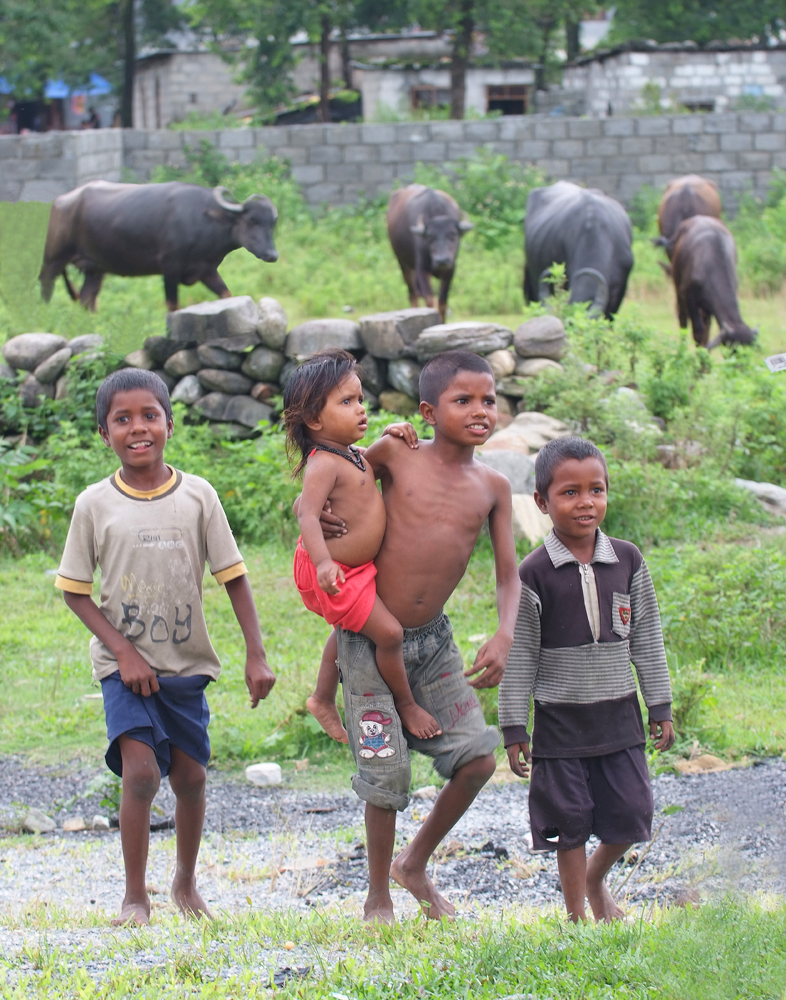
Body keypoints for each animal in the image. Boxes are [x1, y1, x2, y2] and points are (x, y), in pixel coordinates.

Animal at [39, 181, 280, 312]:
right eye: (252, 220)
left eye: (272, 223)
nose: (272, 254)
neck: (203, 220)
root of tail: (61, 201)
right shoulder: (170, 268)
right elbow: (172, 305)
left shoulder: (206, 270)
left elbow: (226, 294)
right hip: (54, 257)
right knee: (46, 285)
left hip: (95, 269)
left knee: (87, 298)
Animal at [386, 182, 472, 318]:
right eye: (430, 237)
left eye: (453, 235)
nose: (442, 260)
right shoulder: (421, 269)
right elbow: (430, 301)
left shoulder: (450, 269)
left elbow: (442, 302)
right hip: (403, 264)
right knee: (413, 294)